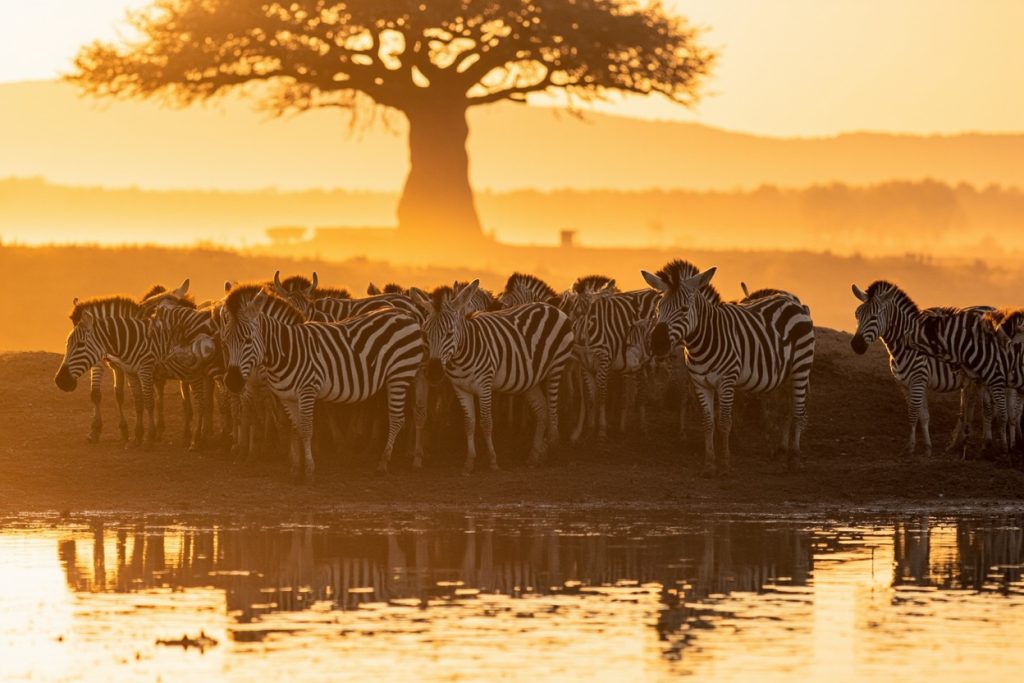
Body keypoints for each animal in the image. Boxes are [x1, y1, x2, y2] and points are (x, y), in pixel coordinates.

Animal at [221, 288, 424, 481]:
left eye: (248, 340)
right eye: (225, 341)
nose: (232, 382)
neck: (287, 349)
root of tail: (405, 313)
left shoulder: (307, 390)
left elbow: (307, 429)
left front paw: (309, 470)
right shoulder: (288, 397)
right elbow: (295, 429)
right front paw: (296, 469)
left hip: (400, 374)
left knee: (397, 418)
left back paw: (384, 463)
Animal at [410, 280, 574, 473]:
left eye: (449, 333)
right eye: (424, 333)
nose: (434, 372)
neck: (462, 354)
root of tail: (550, 306)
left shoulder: (484, 385)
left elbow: (486, 422)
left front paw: (492, 461)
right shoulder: (460, 388)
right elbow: (469, 423)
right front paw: (469, 462)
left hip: (556, 367)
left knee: (553, 412)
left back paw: (550, 449)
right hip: (530, 378)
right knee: (542, 410)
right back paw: (534, 455)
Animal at [642, 261, 815, 475]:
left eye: (684, 309)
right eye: (659, 307)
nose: (658, 344)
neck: (703, 340)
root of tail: (793, 302)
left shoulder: (727, 381)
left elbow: (724, 422)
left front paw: (725, 463)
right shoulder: (701, 383)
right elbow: (708, 422)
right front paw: (709, 464)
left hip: (801, 367)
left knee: (798, 411)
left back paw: (795, 459)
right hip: (784, 374)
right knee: (787, 409)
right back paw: (783, 453)